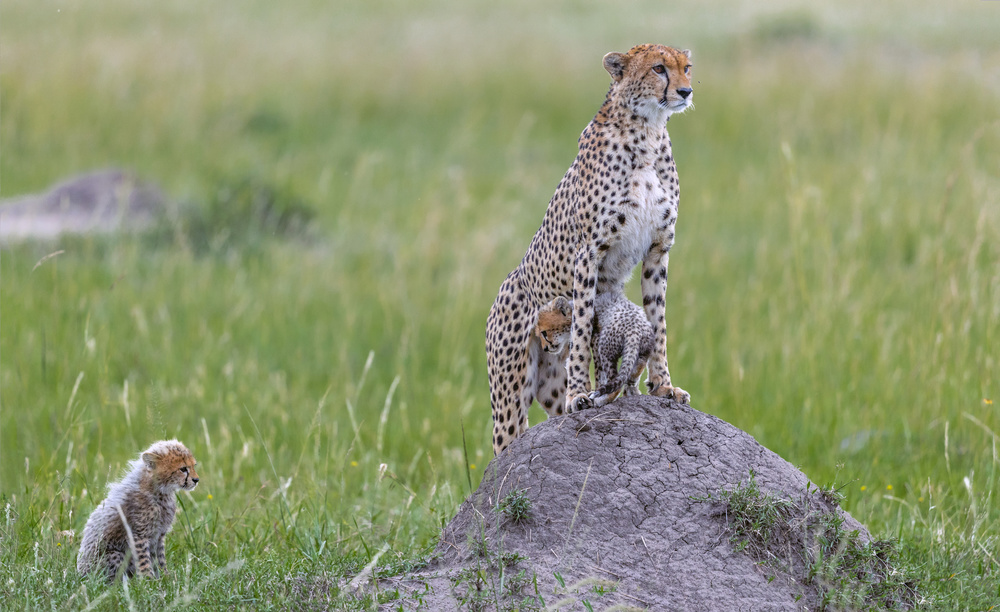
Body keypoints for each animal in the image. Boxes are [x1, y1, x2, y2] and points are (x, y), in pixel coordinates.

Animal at [78, 442, 199, 580]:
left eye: (193, 466)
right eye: (183, 469)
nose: (196, 480)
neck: (160, 491)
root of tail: (80, 575)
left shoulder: (159, 535)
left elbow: (160, 559)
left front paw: (166, 577)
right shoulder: (138, 535)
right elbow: (144, 560)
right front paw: (149, 581)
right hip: (113, 555)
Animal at [486, 43, 692, 454]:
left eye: (687, 67)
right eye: (659, 69)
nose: (685, 91)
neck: (648, 131)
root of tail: (507, 283)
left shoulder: (658, 250)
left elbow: (658, 322)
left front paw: (662, 386)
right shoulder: (590, 253)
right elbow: (581, 324)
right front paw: (580, 392)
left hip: (547, 383)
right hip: (509, 398)